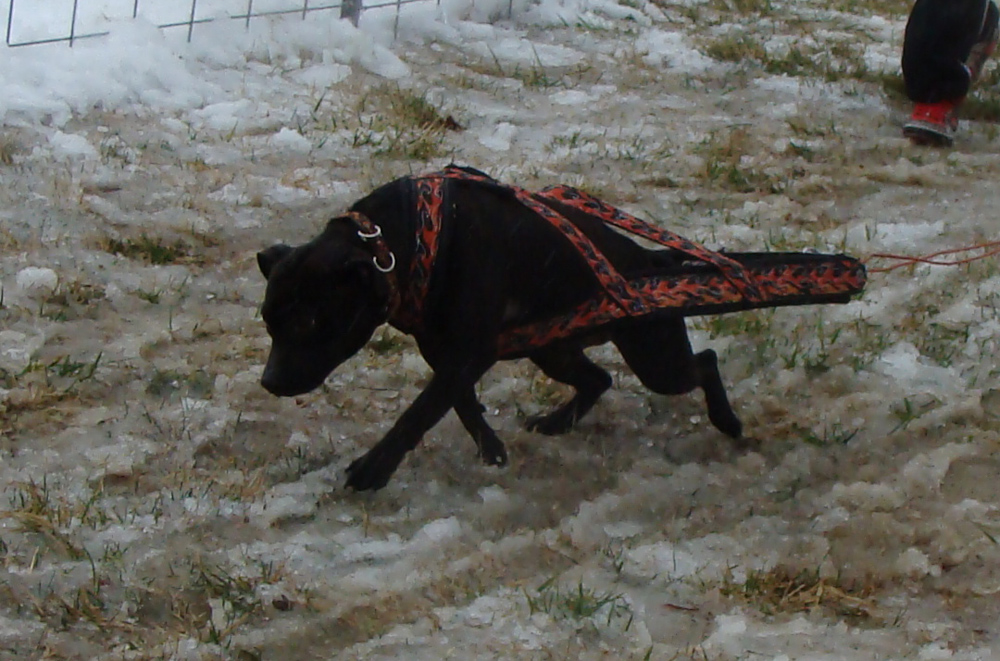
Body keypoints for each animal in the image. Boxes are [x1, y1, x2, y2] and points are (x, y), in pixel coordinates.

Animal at [258, 168, 744, 492]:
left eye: (309, 321)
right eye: (267, 320)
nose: (269, 382)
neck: (397, 241)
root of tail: (655, 259)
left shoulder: (467, 352)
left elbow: (419, 412)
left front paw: (373, 469)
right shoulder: (444, 352)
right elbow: (459, 403)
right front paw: (490, 450)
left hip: (654, 356)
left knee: (703, 363)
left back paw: (727, 420)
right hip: (552, 349)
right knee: (598, 378)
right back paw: (556, 422)